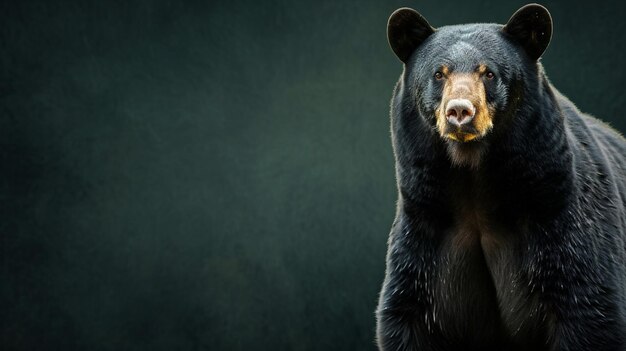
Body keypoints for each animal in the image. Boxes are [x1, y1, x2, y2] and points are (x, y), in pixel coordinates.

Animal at [376, 3, 624, 351]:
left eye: (489, 73)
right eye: (439, 73)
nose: (460, 112)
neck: (474, 180)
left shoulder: (561, 220)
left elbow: (587, 305)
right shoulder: (425, 232)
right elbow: (410, 314)